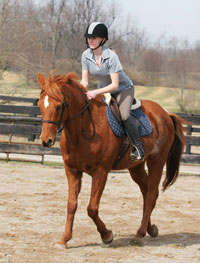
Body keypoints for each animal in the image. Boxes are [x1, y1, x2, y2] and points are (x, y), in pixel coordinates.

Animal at [37, 70, 186, 248]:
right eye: (40, 105)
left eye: (59, 106)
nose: (46, 140)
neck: (84, 129)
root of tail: (165, 113)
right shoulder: (72, 171)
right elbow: (71, 204)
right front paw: (64, 239)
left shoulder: (101, 172)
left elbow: (92, 208)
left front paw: (106, 235)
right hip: (136, 167)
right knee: (146, 191)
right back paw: (150, 229)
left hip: (157, 161)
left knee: (151, 195)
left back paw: (139, 235)